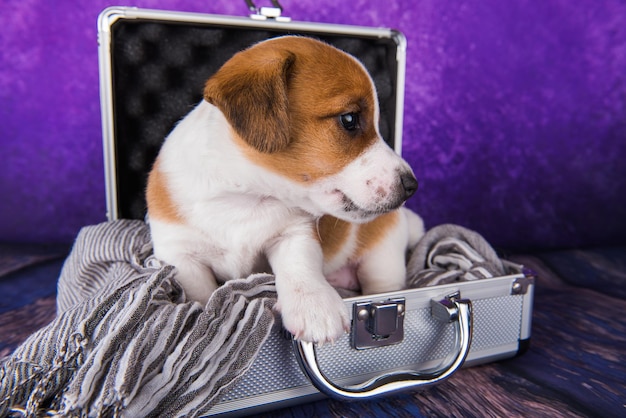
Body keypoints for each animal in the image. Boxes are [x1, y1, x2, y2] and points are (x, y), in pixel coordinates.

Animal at [145, 35, 424, 342]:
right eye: (349, 119)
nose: (412, 186)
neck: (243, 198)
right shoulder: (180, 256)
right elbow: (202, 294)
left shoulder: (295, 233)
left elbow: (299, 268)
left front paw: (315, 305)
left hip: (382, 258)